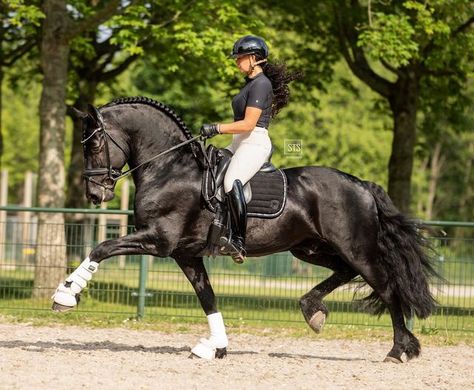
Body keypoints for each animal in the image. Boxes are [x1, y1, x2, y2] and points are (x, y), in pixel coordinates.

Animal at [60, 96, 436, 362]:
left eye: (94, 144)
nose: (95, 194)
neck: (169, 168)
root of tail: (361, 185)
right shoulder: (185, 254)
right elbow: (207, 297)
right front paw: (215, 347)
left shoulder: (158, 241)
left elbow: (101, 248)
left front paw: (65, 294)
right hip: (311, 249)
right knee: (345, 272)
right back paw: (312, 310)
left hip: (357, 248)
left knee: (387, 287)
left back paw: (399, 350)